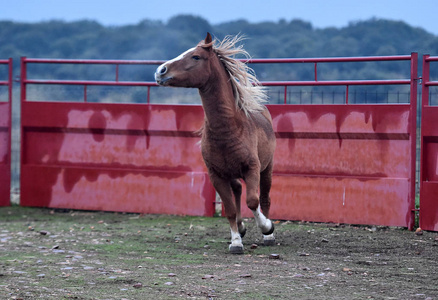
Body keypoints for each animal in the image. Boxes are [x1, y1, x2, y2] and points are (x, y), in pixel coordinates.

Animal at [156, 32, 276, 253]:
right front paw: (236, 241)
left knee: (264, 197)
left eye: (196, 57)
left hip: (267, 168)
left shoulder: (252, 168)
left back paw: (269, 235)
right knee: (237, 190)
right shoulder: (216, 175)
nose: (161, 71)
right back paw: (241, 228)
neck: (229, 128)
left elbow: (253, 201)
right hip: (232, 173)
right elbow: (229, 209)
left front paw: (266, 227)